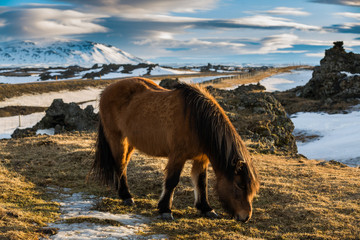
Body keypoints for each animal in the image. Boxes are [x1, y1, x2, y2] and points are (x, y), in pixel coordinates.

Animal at [91, 78, 260, 222]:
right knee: (120, 165)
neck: (196, 119)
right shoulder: (178, 156)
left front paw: (206, 208)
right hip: (117, 139)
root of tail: (106, 91)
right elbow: (172, 181)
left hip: (130, 142)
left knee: (123, 165)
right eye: (240, 185)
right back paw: (126, 196)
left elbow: (201, 182)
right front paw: (165, 210)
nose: (245, 217)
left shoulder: (201, 158)